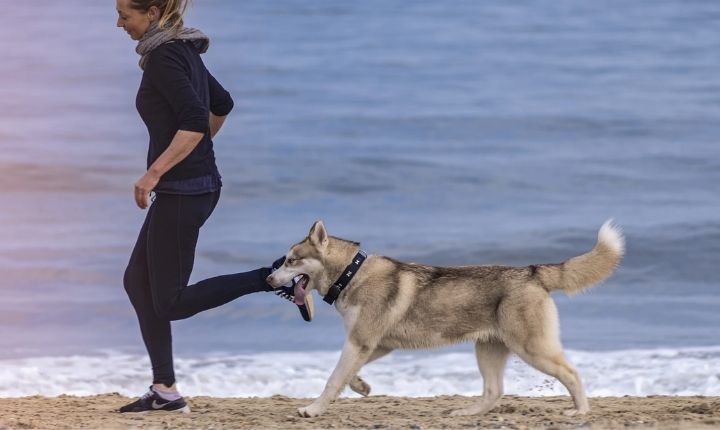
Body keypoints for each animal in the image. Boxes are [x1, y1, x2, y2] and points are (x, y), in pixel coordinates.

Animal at [266, 218, 624, 416]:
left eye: (292, 261)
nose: (268, 280)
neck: (351, 274)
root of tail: (533, 271)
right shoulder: (373, 344)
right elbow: (348, 375)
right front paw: (362, 386)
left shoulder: (361, 341)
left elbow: (332, 378)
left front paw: (312, 410)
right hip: (488, 350)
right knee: (494, 391)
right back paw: (466, 412)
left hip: (532, 349)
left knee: (572, 374)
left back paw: (580, 410)